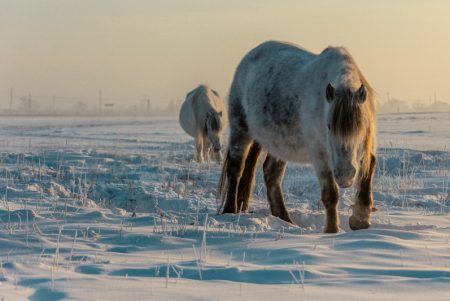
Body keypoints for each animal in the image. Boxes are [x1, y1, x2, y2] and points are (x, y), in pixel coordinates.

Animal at [218, 40, 376, 232]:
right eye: (329, 126)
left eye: (361, 127)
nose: (345, 175)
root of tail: (249, 57)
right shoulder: (320, 154)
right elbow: (330, 194)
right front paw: (332, 231)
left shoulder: (365, 148)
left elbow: (369, 170)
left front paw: (360, 220)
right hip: (240, 130)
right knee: (236, 168)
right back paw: (230, 211)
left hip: (279, 144)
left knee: (271, 174)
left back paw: (285, 219)